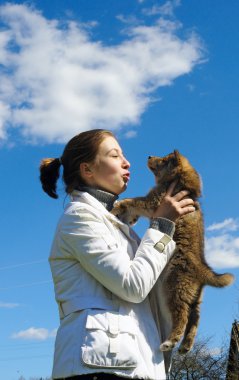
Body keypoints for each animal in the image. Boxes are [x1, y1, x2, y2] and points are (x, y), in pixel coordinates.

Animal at [111, 149, 233, 354]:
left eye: (164, 160)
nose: (149, 156)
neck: (179, 182)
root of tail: (203, 271)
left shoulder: (153, 201)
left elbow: (133, 200)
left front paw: (117, 206)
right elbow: (133, 206)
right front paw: (127, 216)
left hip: (175, 287)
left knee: (182, 316)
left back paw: (170, 342)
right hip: (194, 297)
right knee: (195, 319)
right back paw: (185, 346)